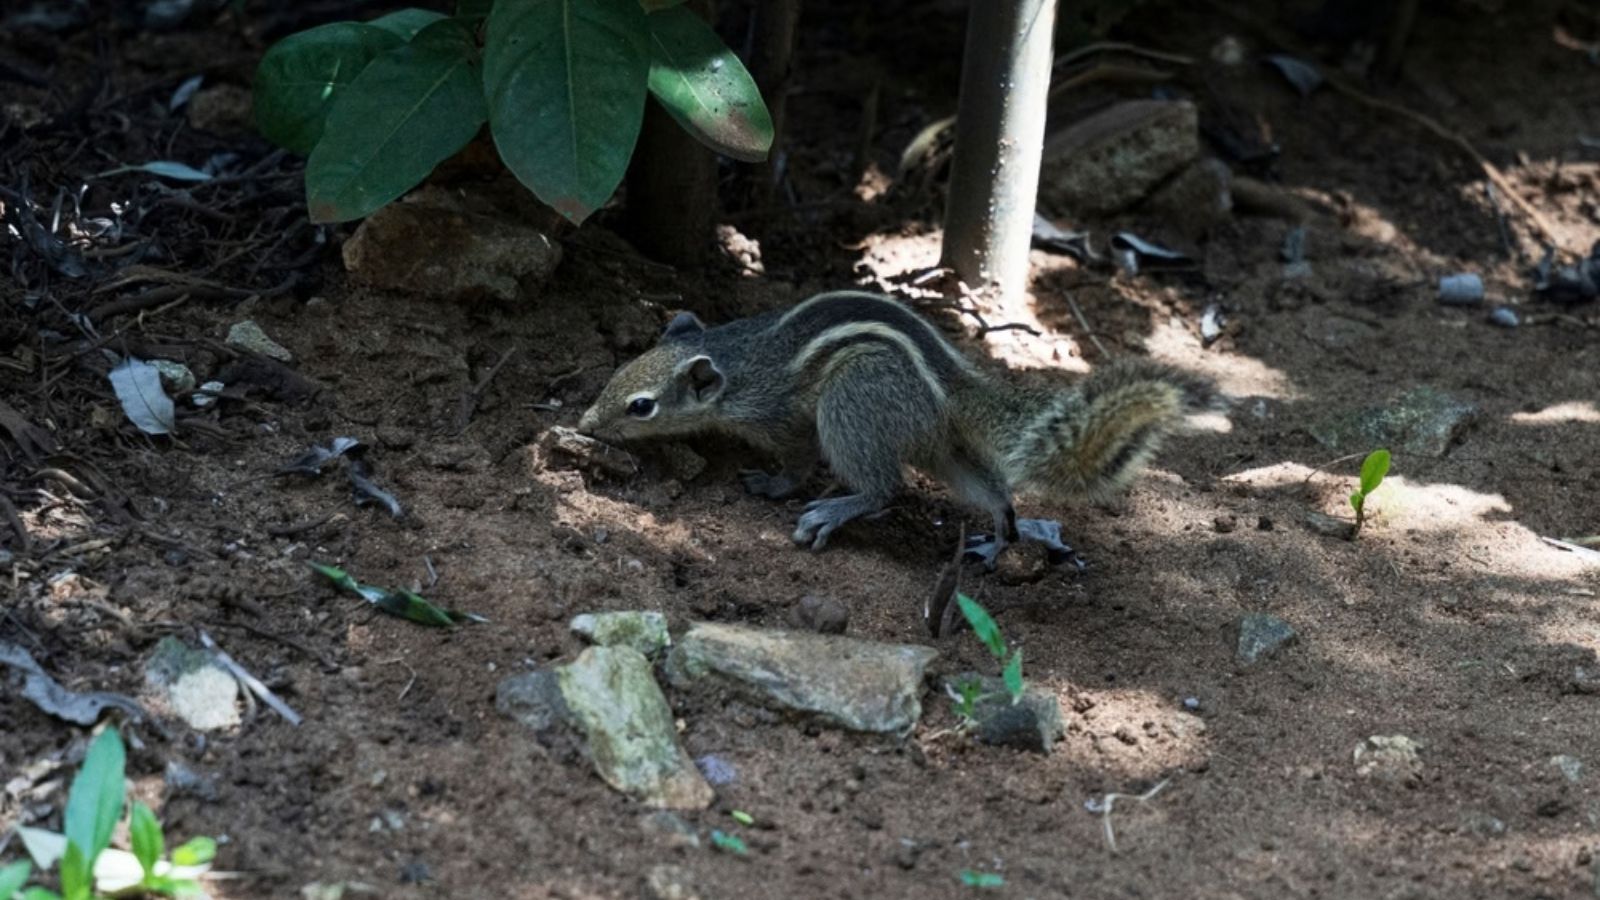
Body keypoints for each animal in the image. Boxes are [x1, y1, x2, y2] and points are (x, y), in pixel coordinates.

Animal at [577, 291, 1216, 564]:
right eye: (615, 375)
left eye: (640, 406)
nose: (585, 424)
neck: (733, 359)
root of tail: (957, 383)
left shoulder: (779, 419)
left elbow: (796, 463)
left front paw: (772, 485)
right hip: (944, 448)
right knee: (992, 492)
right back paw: (996, 540)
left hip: (853, 407)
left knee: (887, 488)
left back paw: (834, 511)